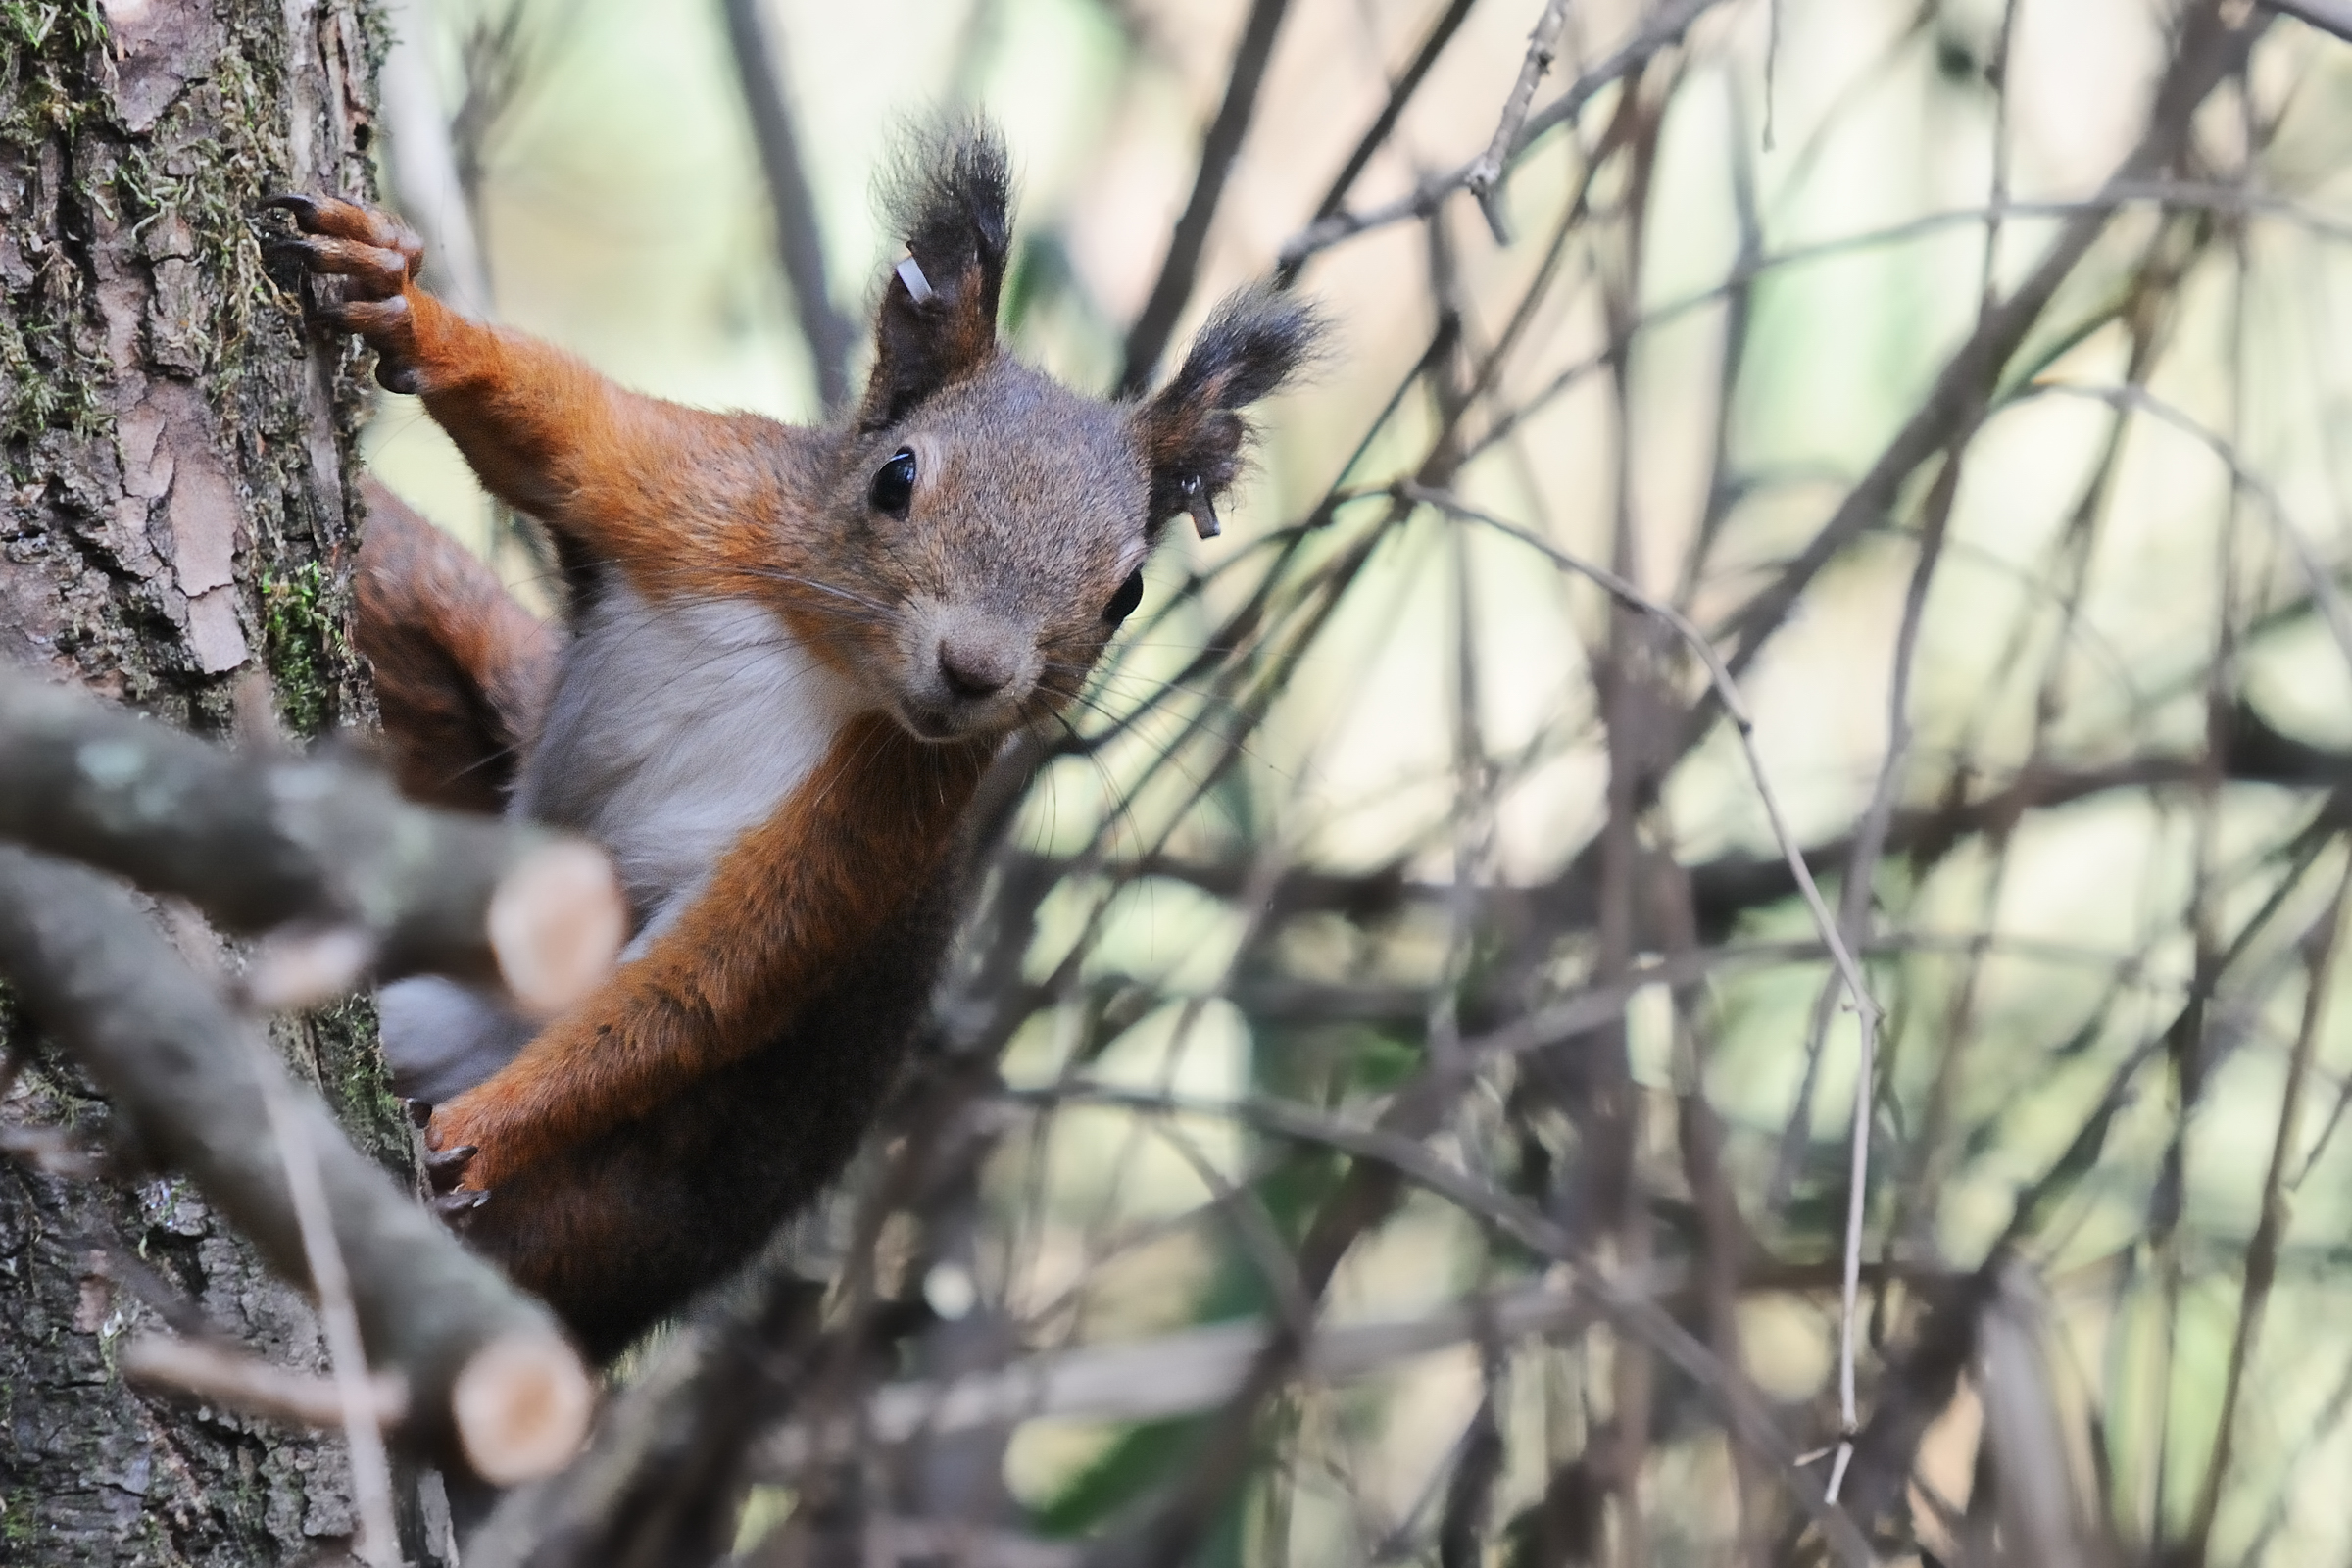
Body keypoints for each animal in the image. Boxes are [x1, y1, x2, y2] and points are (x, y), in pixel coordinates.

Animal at [267, 124, 1320, 1360]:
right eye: (896, 474)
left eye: (1130, 594)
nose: (975, 671)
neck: (831, 652)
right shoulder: (704, 498)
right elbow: (558, 432)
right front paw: (397, 294)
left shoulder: (882, 815)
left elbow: (700, 991)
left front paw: (476, 1133)